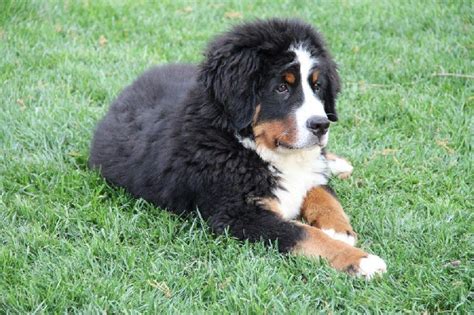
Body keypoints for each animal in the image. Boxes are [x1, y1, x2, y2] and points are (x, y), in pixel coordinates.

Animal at [89, 17, 386, 278]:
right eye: (281, 88)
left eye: (317, 86)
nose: (321, 125)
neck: (251, 147)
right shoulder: (238, 214)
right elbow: (303, 233)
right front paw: (361, 260)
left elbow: (324, 193)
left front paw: (340, 230)